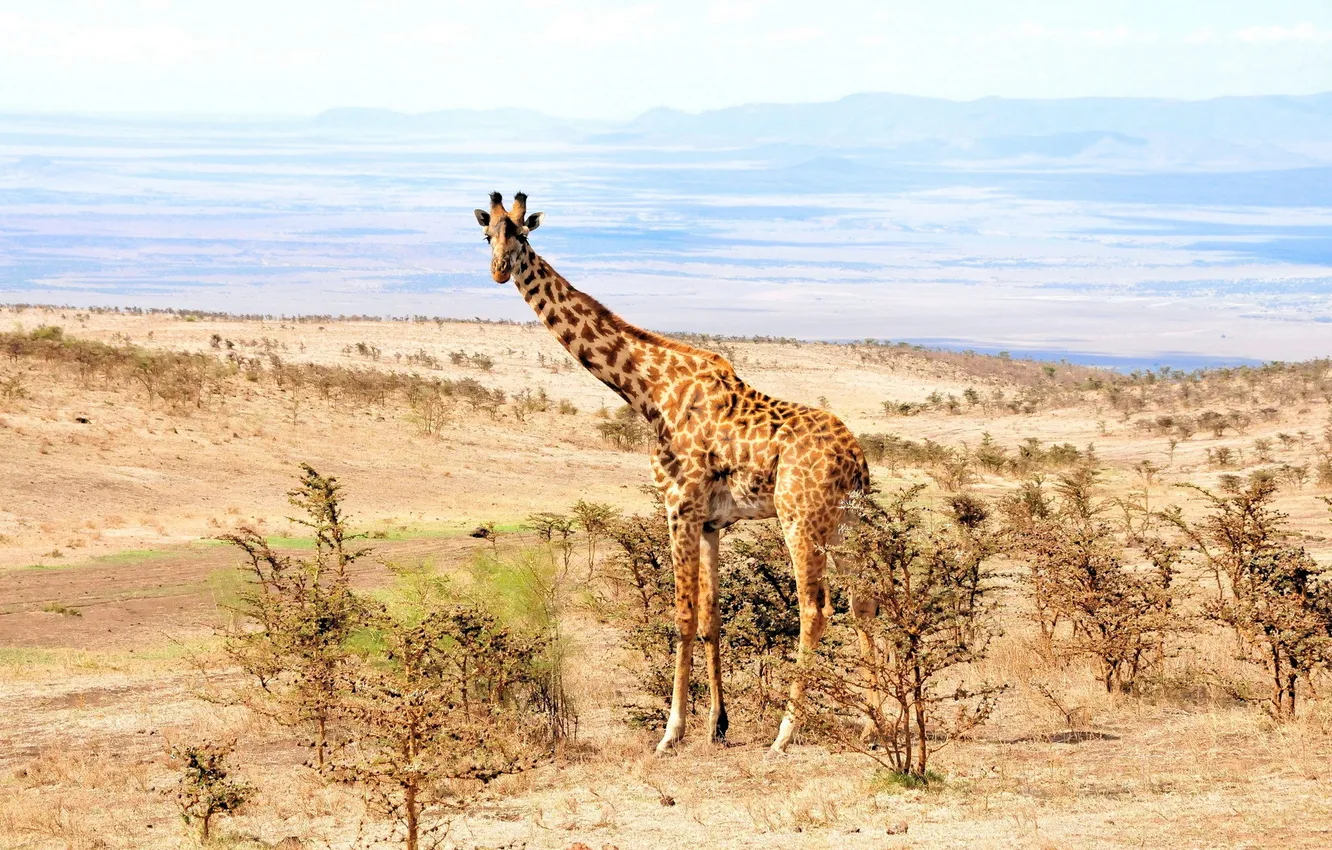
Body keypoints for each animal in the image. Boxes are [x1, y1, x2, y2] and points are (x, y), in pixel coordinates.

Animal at [474, 192, 871, 753]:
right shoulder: (710, 522)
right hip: (845, 523)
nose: (499, 271)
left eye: (523, 237)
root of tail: (856, 459)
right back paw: (879, 723)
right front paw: (716, 726)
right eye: (487, 236)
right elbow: (710, 619)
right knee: (864, 602)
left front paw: (672, 731)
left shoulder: (678, 505)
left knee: (814, 610)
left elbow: (681, 616)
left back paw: (784, 734)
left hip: (801, 519)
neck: (647, 389)